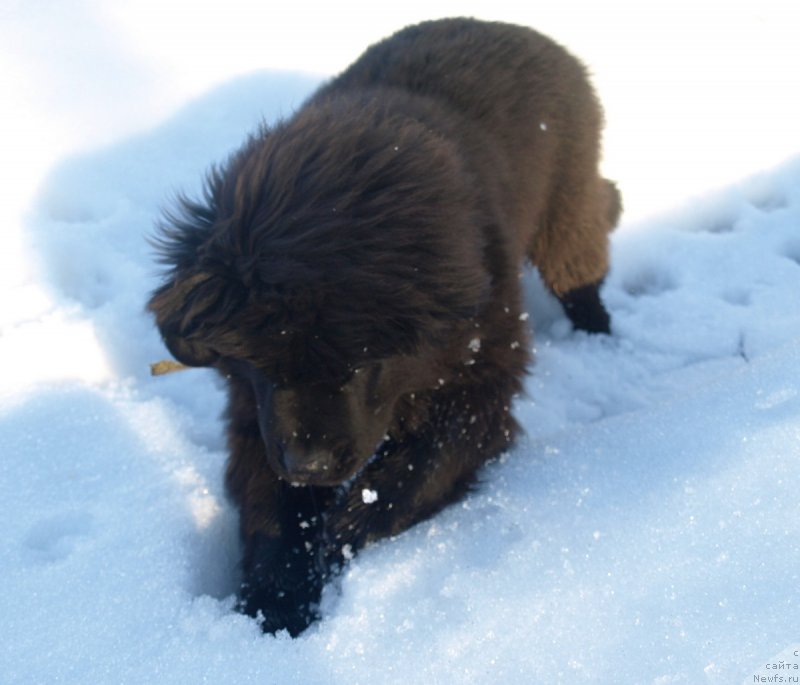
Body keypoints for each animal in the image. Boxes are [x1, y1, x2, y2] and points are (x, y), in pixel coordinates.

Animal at [148, 17, 620, 636]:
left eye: (362, 362)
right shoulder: (255, 411)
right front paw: (274, 605)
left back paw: (600, 336)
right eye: (259, 362)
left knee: (582, 264)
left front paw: (346, 533)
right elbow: (270, 505)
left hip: (565, 202)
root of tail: (511, 26)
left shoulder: (482, 374)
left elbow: (428, 462)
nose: (310, 466)